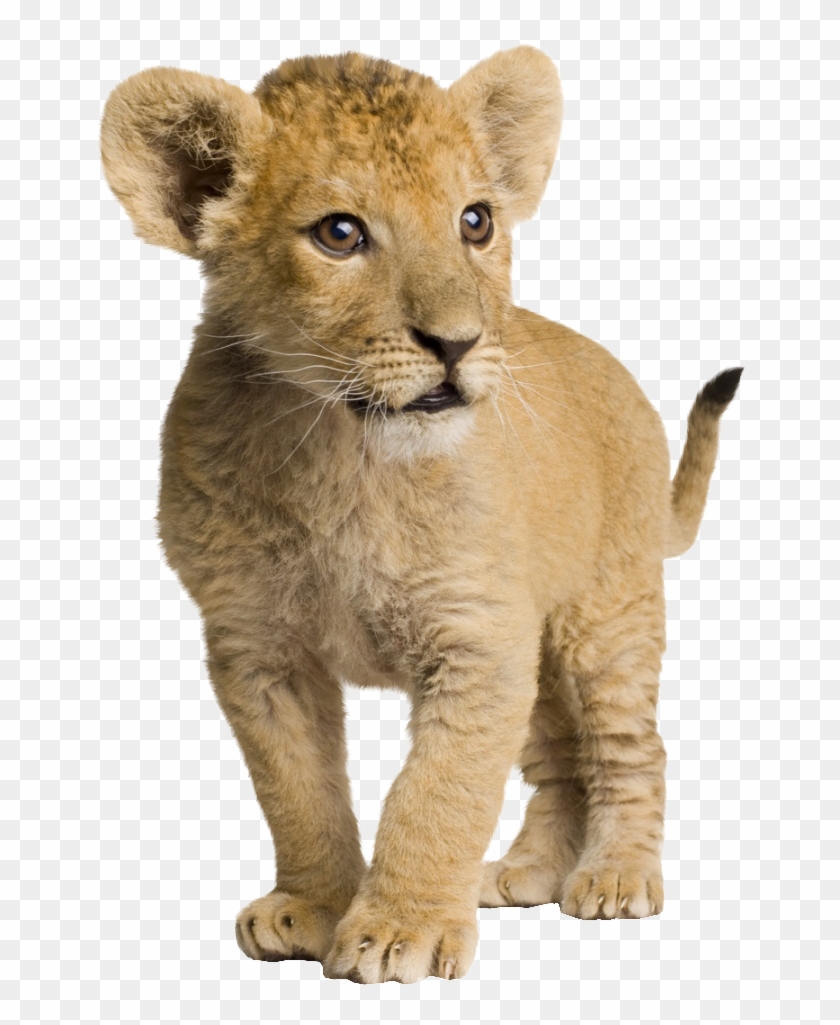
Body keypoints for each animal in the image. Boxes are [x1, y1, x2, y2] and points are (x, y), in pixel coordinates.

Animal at [100, 48, 742, 983]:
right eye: (340, 233)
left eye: (475, 221)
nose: (459, 343)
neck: (343, 453)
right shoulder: (256, 646)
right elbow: (297, 789)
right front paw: (313, 906)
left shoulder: (477, 638)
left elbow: (438, 790)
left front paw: (402, 928)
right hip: (539, 650)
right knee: (559, 761)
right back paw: (524, 873)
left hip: (604, 615)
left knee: (629, 747)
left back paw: (617, 875)